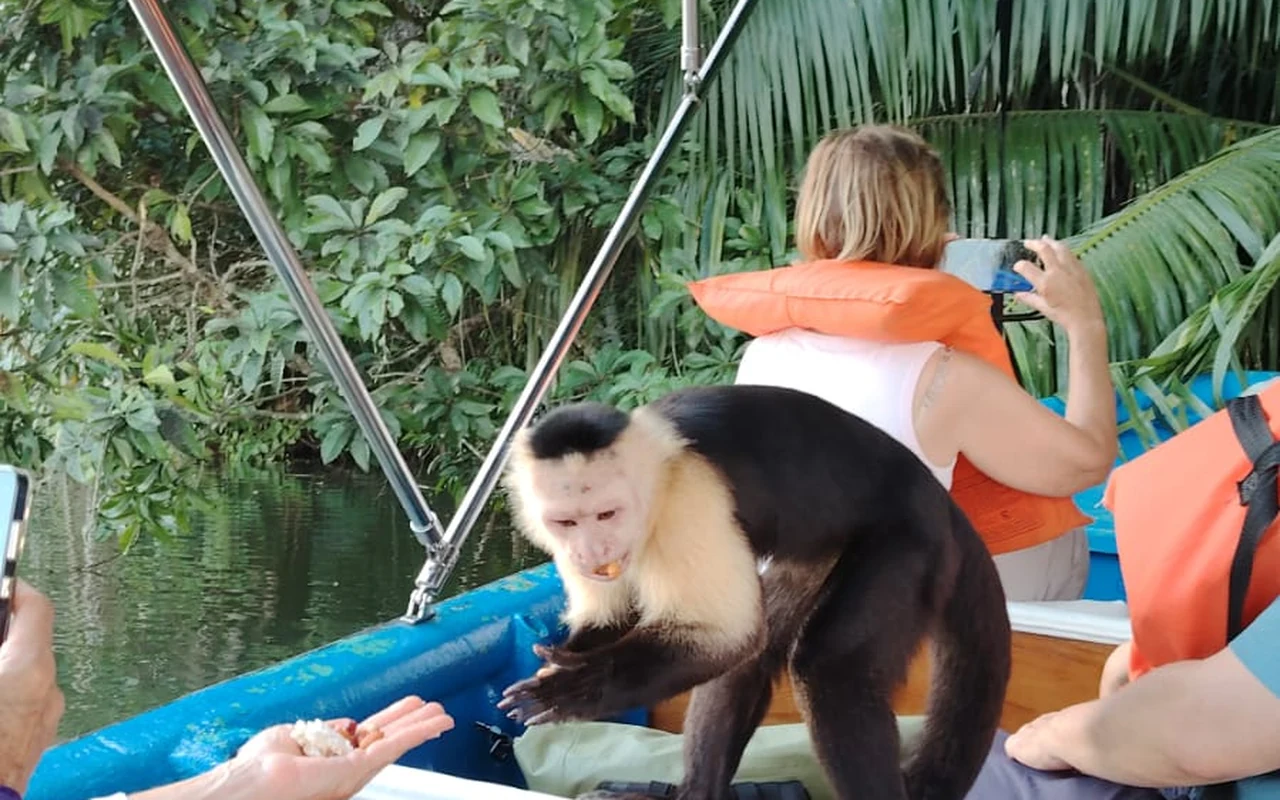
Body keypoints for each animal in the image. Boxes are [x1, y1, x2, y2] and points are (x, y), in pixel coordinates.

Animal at [496, 384, 1012, 800]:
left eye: (607, 514)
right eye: (567, 522)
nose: (592, 549)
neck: (655, 482)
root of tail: (941, 500)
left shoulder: (689, 502)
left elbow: (727, 634)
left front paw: (578, 686)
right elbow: (619, 618)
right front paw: (564, 662)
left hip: (911, 543)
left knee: (828, 666)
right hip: (819, 552)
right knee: (757, 651)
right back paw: (699, 792)